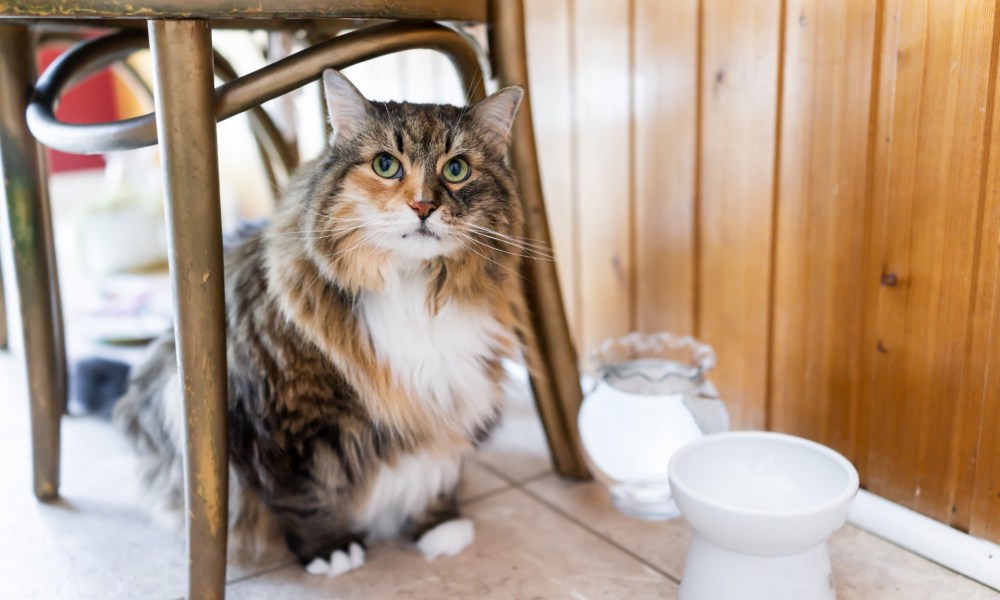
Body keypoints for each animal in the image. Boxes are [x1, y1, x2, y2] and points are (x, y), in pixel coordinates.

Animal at [114, 69, 532, 576]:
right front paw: (331, 550)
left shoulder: (453, 396)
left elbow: (439, 465)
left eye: (457, 170)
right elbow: (304, 493)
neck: (413, 288)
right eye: (386, 165)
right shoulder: (286, 415)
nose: (422, 206)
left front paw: (438, 525)